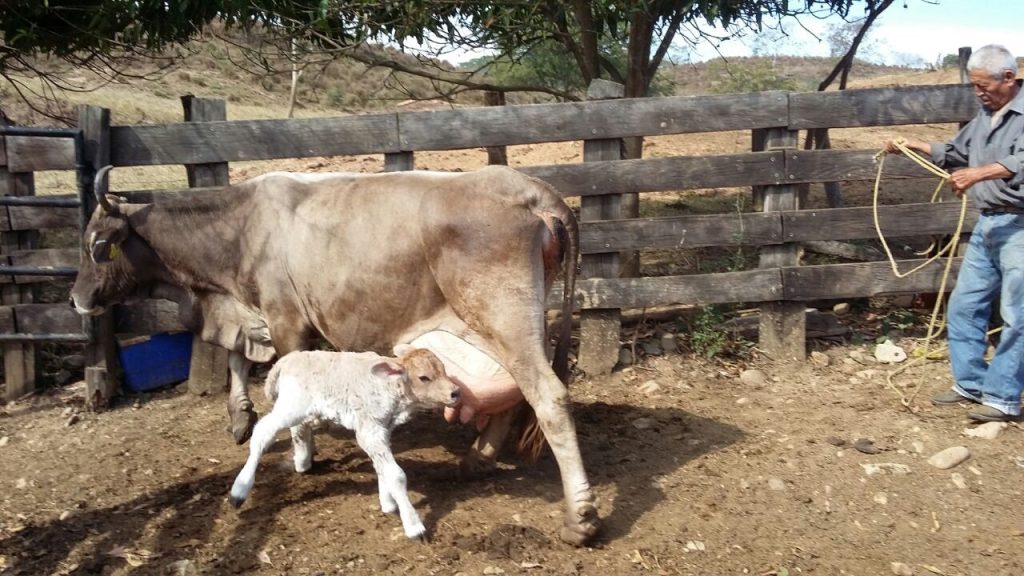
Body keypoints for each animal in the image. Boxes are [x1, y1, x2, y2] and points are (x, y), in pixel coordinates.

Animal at [230, 344, 462, 537]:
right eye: (424, 378)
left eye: (443, 369)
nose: (456, 392)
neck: (390, 388)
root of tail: (289, 359)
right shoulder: (369, 429)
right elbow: (396, 475)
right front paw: (413, 525)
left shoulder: (381, 429)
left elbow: (381, 467)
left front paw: (387, 503)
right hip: (292, 405)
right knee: (262, 432)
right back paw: (239, 490)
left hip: (299, 408)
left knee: (297, 428)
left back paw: (302, 461)